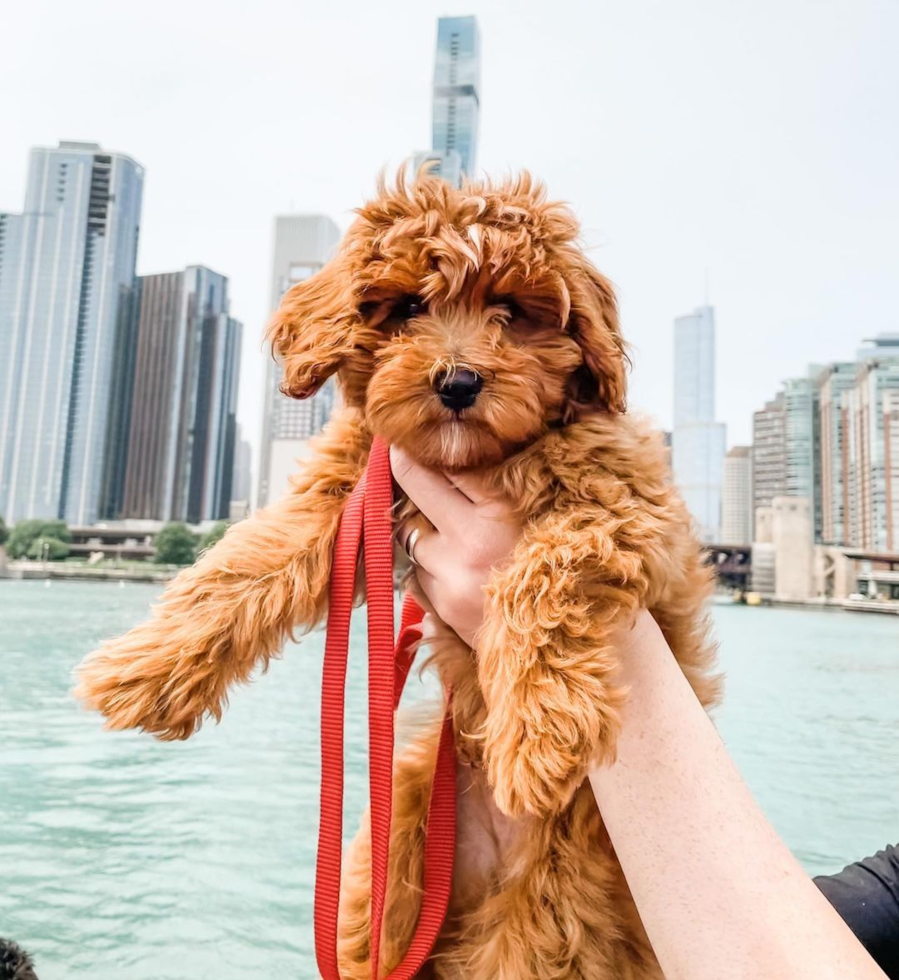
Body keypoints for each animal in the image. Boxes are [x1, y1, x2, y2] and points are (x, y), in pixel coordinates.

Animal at [79, 172, 724, 976]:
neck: (474, 461)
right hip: (391, 856)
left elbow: (537, 575)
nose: (458, 381)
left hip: (550, 921)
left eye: (512, 313)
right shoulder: (347, 492)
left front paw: (538, 732)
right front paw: (145, 674)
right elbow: (245, 563)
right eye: (410, 308)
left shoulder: (623, 507)